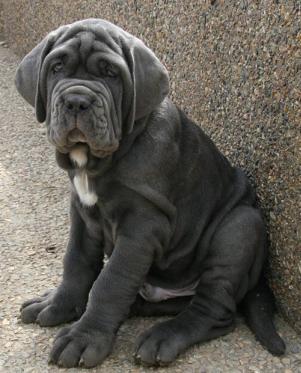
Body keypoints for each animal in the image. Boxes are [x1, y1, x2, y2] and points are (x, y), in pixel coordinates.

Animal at [15, 18, 284, 366]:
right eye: (57, 67)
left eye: (111, 73)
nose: (76, 100)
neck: (99, 162)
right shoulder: (82, 213)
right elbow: (76, 262)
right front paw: (59, 305)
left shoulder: (142, 227)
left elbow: (111, 281)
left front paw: (84, 338)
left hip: (241, 226)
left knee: (213, 309)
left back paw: (164, 337)